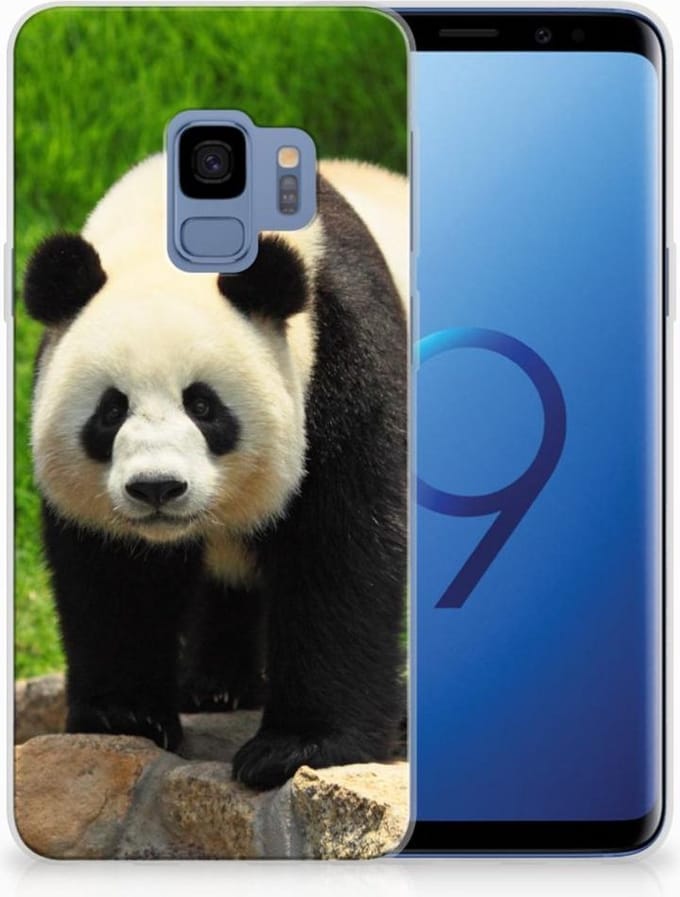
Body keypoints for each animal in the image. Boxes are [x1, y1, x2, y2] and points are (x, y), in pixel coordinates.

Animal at [24, 154, 408, 790]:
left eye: (203, 406)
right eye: (111, 410)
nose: (156, 488)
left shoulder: (344, 355)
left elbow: (342, 549)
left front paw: (297, 747)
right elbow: (113, 571)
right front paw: (124, 715)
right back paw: (216, 686)